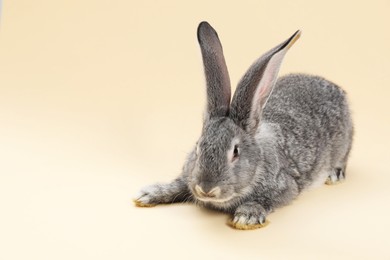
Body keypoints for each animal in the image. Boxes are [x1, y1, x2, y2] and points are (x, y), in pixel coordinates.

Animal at [133, 21, 354, 230]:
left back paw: (334, 175)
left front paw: (247, 216)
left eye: (235, 152)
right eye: (197, 148)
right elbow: (180, 184)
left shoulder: (286, 186)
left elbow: (266, 200)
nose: (206, 189)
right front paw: (149, 194)